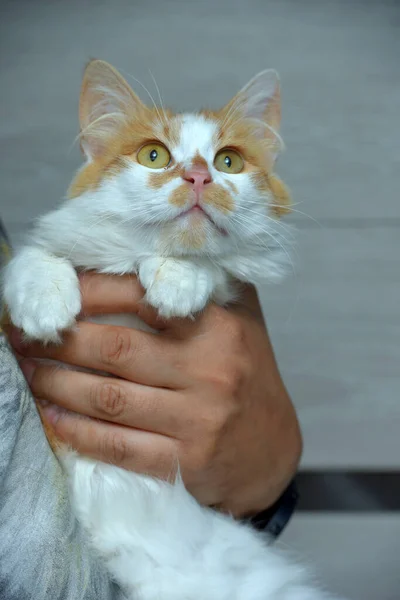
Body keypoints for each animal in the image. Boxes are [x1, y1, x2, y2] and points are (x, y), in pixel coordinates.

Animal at [2, 57, 340, 600]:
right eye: (153, 155)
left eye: (228, 162)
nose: (198, 176)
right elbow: (35, 257)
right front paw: (45, 302)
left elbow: (208, 267)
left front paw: (177, 280)